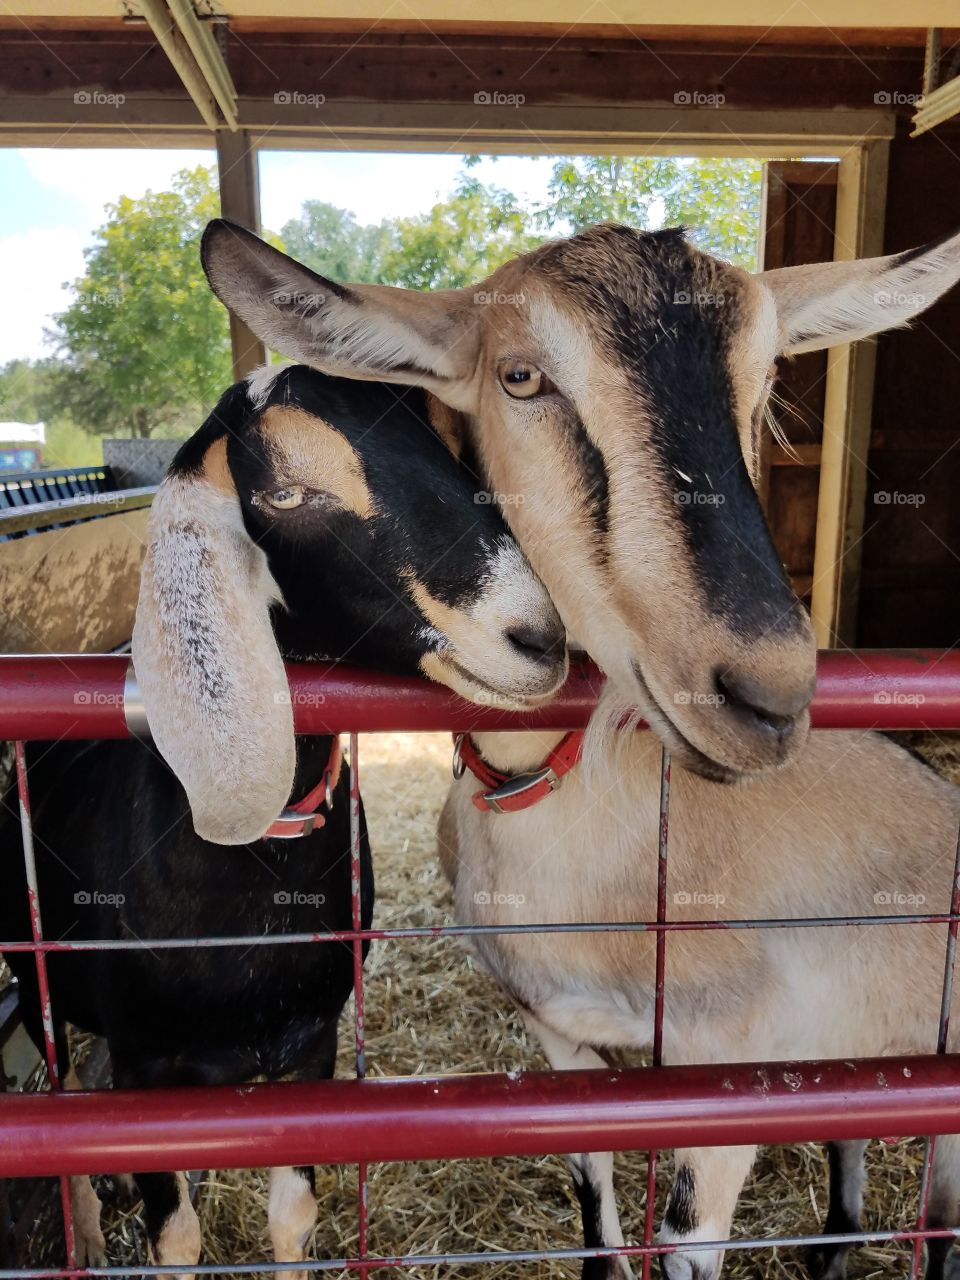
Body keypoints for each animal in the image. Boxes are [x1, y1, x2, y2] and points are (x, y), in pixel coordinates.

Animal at [0, 362, 566, 1280]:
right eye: (288, 494)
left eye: (442, 447)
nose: (540, 639)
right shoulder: (147, 1067)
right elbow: (175, 1234)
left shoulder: (312, 1044)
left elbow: (293, 1216)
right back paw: (83, 1230)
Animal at [198, 219, 960, 1280]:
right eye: (521, 377)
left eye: (764, 379)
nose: (765, 694)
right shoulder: (563, 1045)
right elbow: (596, 1217)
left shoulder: (730, 1073)